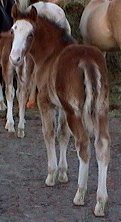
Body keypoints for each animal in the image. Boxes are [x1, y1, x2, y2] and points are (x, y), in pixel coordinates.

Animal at [9, 5, 110, 217]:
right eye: (13, 30)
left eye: (30, 34)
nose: (15, 58)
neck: (50, 53)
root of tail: (87, 61)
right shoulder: (63, 107)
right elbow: (63, 134)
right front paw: (63, 173)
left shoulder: (46, 102)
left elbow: (49, 134)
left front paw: (52, 174)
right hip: (100, 109)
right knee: (102, 146)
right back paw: (100, 202)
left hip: (76, 112)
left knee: (83, 144)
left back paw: (80, 194)